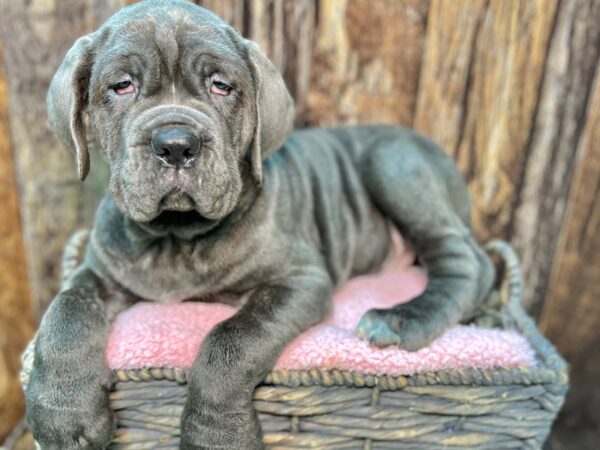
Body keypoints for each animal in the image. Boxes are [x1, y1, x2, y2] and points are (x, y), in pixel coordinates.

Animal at [25, 0, 494, 450]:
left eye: (221, 86)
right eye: (122, 86)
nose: (176, 144)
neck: (177, 236)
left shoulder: (299, 280)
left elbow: (233, 339)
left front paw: (217, 436)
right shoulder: (98, 273)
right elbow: (64, 313)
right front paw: (62, 412)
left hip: (393, 163)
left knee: (468, 261)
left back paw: (402, 320)